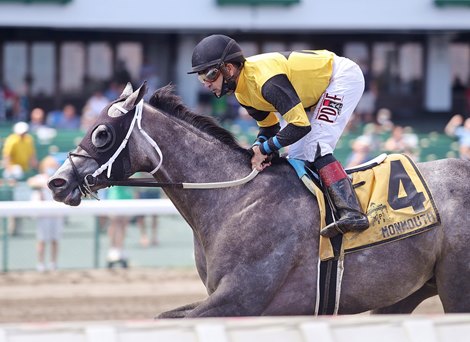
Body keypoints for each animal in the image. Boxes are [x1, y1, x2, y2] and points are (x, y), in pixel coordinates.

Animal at [48, 83, 470, 318]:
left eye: (101, 133)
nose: (56, 181)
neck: (236, 199)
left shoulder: (239, 300)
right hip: (409, 290)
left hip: (455, 288)